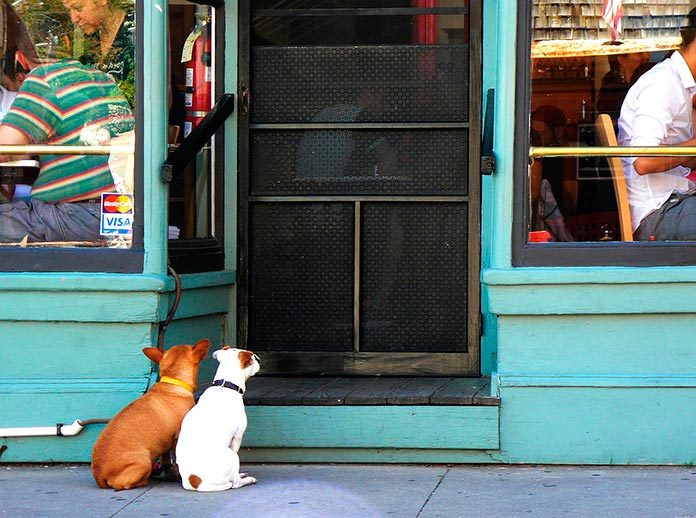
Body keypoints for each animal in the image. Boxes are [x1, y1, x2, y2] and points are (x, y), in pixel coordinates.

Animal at [90, 340, 209, 494]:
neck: (173, 383)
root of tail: (99, 477)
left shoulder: (167, 443)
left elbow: (167, 461)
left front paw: (170, 475)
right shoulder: (177, 438)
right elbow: (176, 460)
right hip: (144, 461)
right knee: (123, 485)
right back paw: (144, 480)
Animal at [175, 348, 260, 494]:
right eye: (253, 358)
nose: (259, 358)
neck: (225, 385)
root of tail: (195, 480)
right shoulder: (238, 436)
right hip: (233, 456)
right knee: (235, 483)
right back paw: (246, 480)